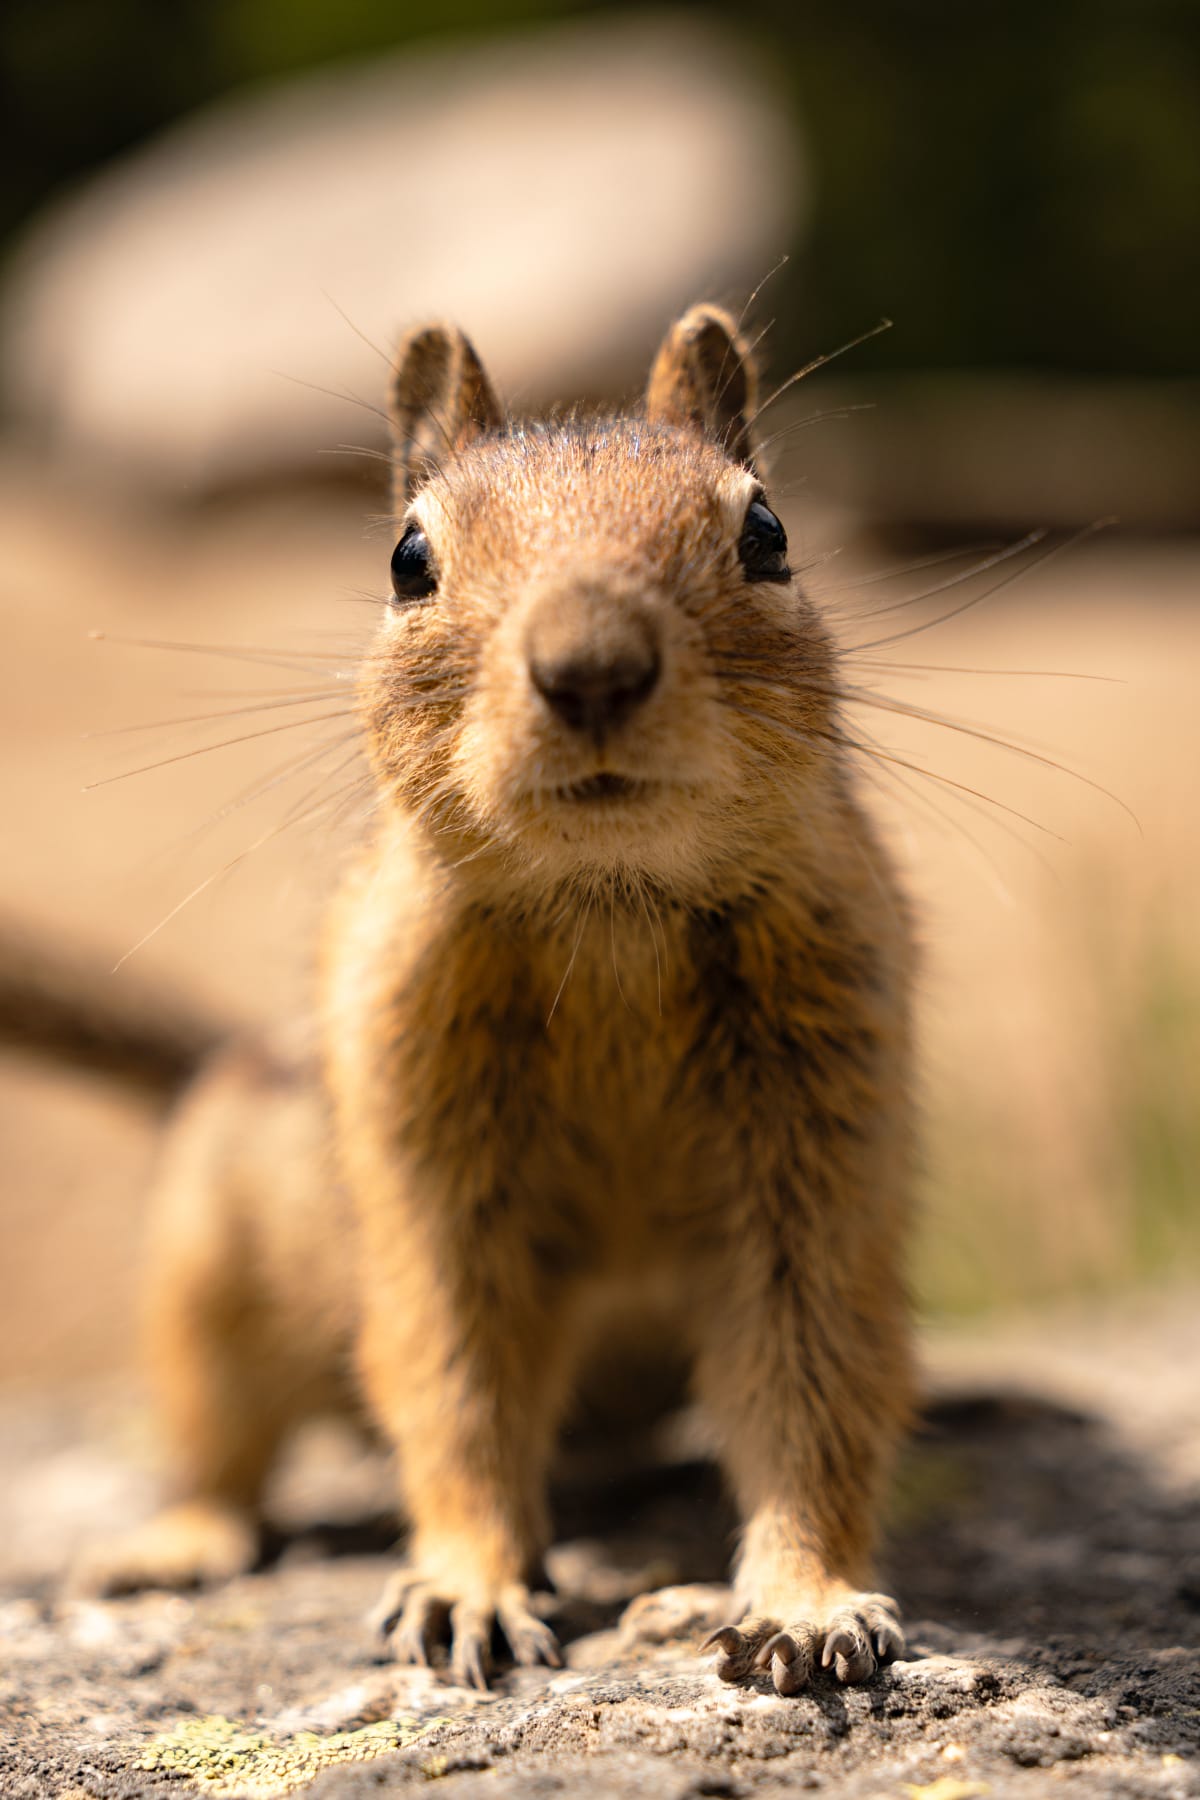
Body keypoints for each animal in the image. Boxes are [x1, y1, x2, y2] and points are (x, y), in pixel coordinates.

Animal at [66, 303, 916, 1696]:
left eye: (769, 533)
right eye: (409, 557)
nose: (592, 669)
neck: (611, 913)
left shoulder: (822, 1145)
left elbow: (815, 1382)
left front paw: (808, 1602)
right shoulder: (430, 1162)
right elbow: (453, 1381)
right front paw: (465, 1588)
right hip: (205, 1260)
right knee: (220, 1441)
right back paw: (172, 1544)